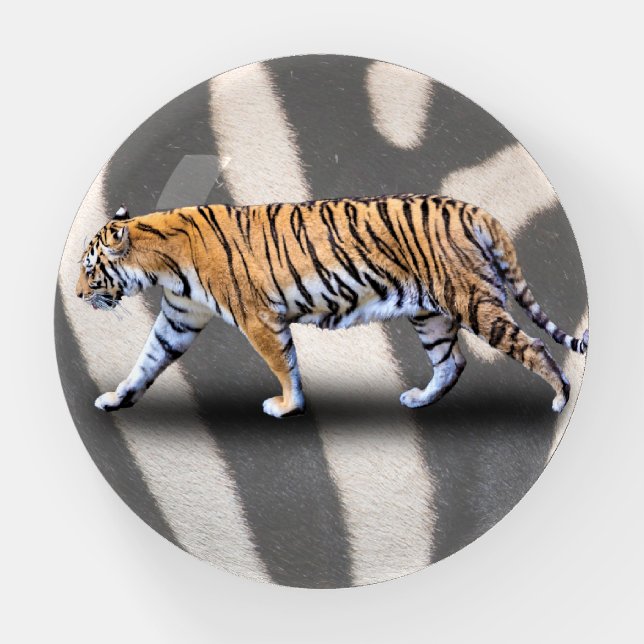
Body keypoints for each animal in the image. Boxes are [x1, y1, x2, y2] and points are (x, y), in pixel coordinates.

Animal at [75, 194, 588, 418]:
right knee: (452, 362)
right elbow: (147, 360)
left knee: (533, 345)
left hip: (472, 300)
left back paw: (560, 398)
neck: (157, 263)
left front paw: (287, 406)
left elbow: (283, 364)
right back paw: (419, 400)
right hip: (430, 315)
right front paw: (117, 398)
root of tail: (473, 209)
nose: (77, 296)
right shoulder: (179, 317)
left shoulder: (258, 318)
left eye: (89, 267)